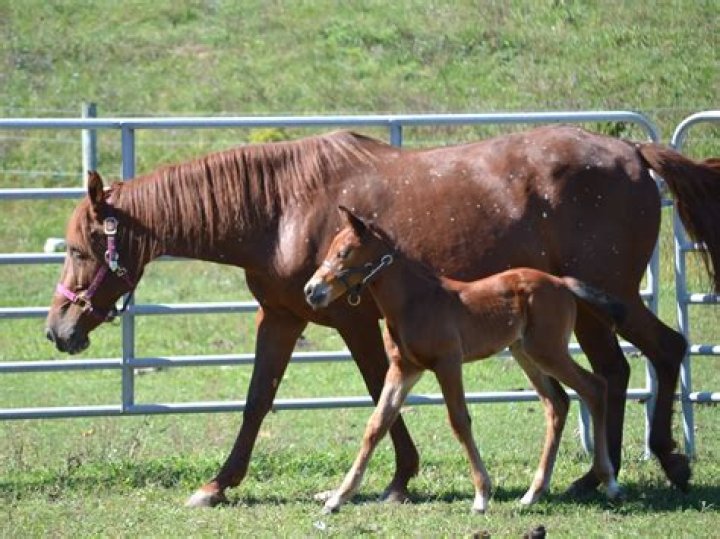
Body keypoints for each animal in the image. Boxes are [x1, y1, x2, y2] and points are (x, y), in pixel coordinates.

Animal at [304, 206, 626, 512]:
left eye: (343, 252)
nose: (311, 290)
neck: (413, 301)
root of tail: (561, 282)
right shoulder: (404, 369)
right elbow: (376, 425)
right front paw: (337, 498)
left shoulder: (447, 362)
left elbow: (459, 420)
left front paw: (482, 496)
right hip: (525, 353)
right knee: (557, 403)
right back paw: (533, 493)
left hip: (548, 351)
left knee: (594, 387)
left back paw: (609, 483)